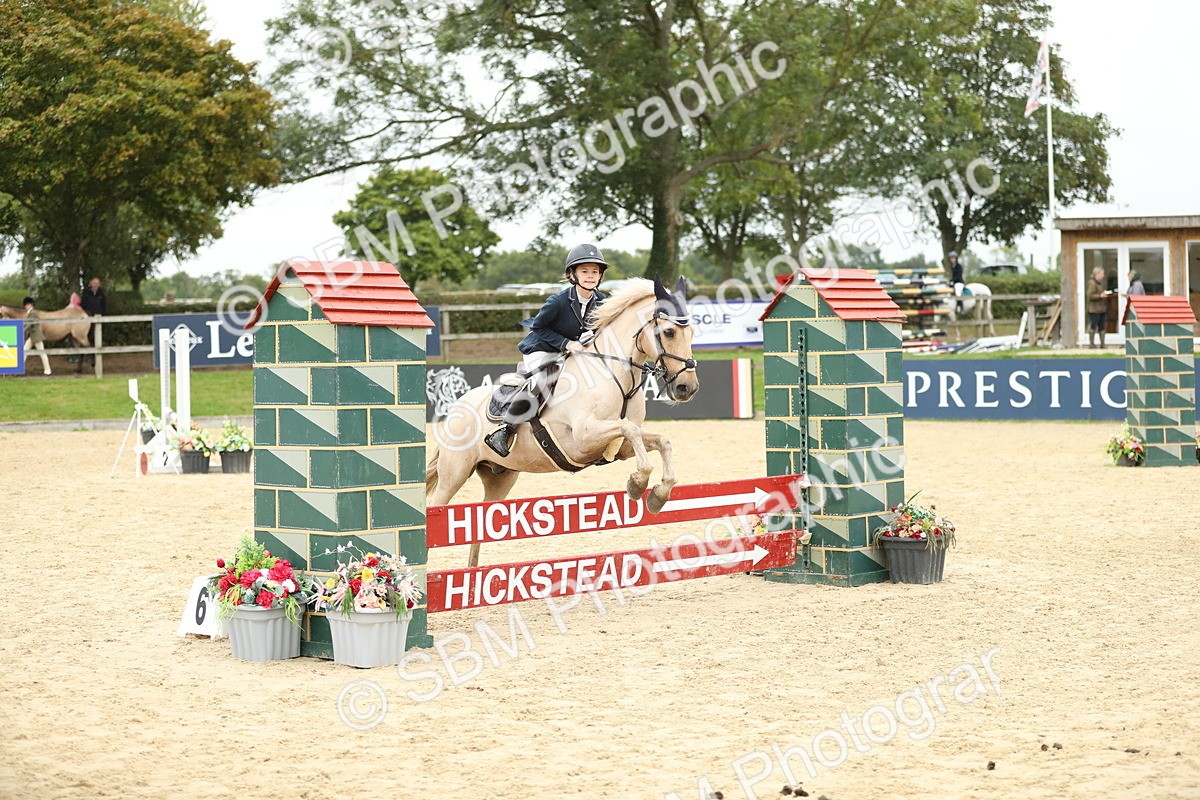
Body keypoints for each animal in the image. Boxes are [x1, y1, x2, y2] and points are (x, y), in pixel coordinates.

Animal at [426, 277, 700, 567]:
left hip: (499, 477)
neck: (615, 374)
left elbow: (660, 440)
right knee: (435, 508)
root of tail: (456, 407)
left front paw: (659, 494)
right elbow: (630, 429)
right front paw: (637, 484)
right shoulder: (582, 439)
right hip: (454, 474)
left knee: (479, 524)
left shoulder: (620, 447)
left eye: (692, 332)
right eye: (669, 332)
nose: (687, 388)